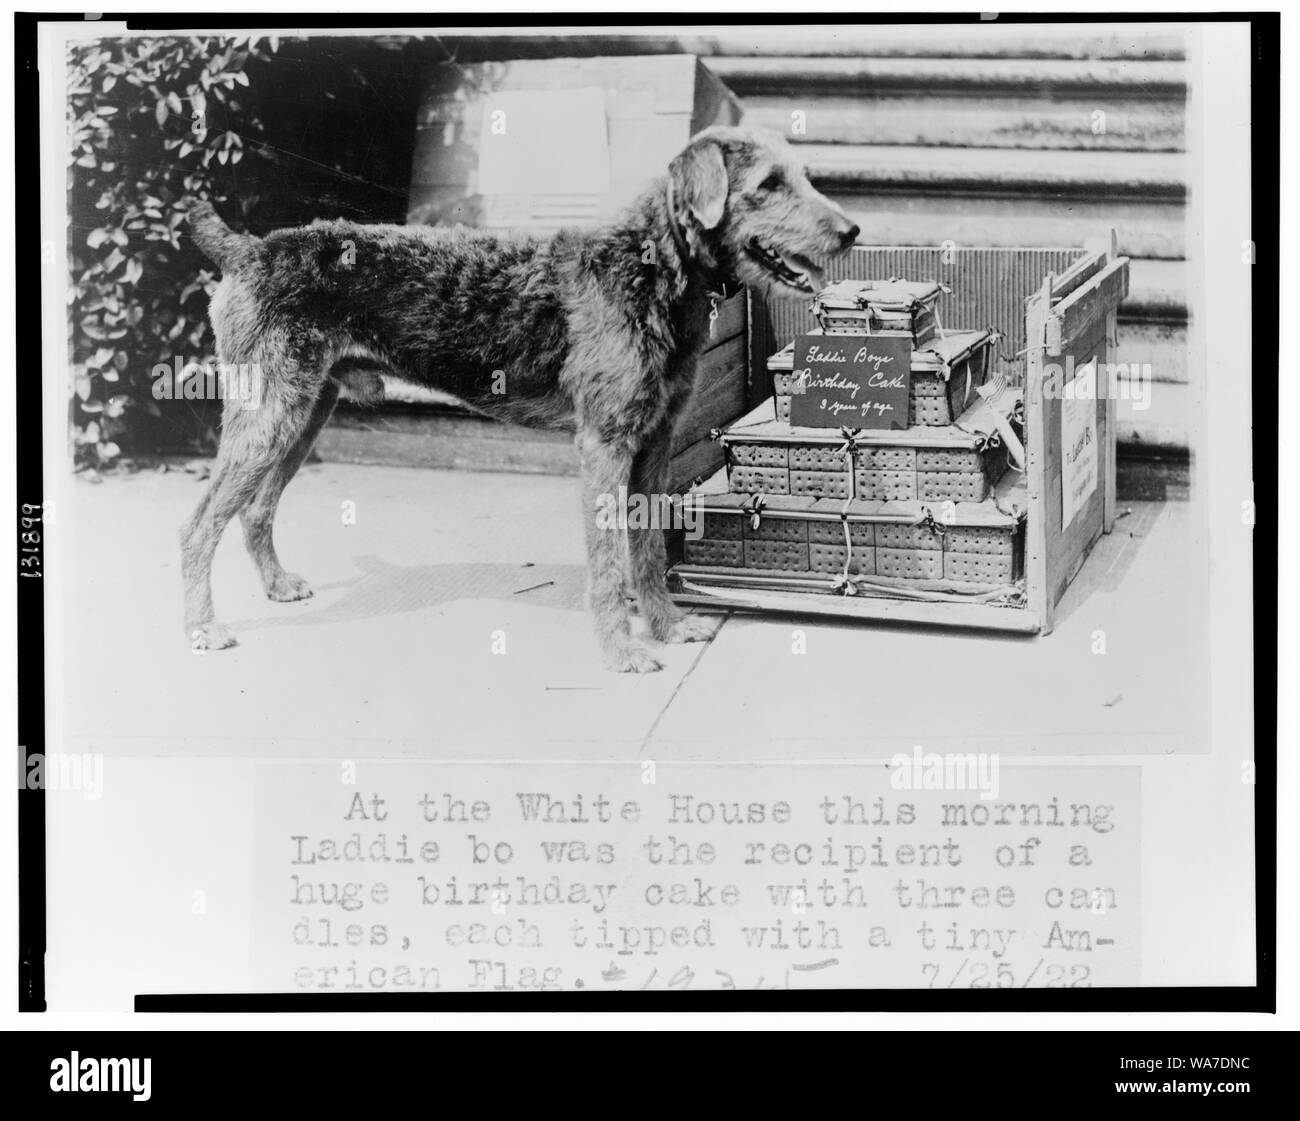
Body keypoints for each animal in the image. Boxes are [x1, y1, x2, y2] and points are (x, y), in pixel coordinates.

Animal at [180, 131, 852, 676]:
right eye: (768, 184)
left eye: (804, 174)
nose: (851, 232)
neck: (650, 266)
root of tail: (247, 251)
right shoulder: (605, 444)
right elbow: (611, 563)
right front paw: (623, 654)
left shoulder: (654, 443)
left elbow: (648, 548)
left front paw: (666, 627)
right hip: (269, 415)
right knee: (198, 524)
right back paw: (201, 628)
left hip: (303, 413)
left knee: (255, 510)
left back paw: (275, 587)